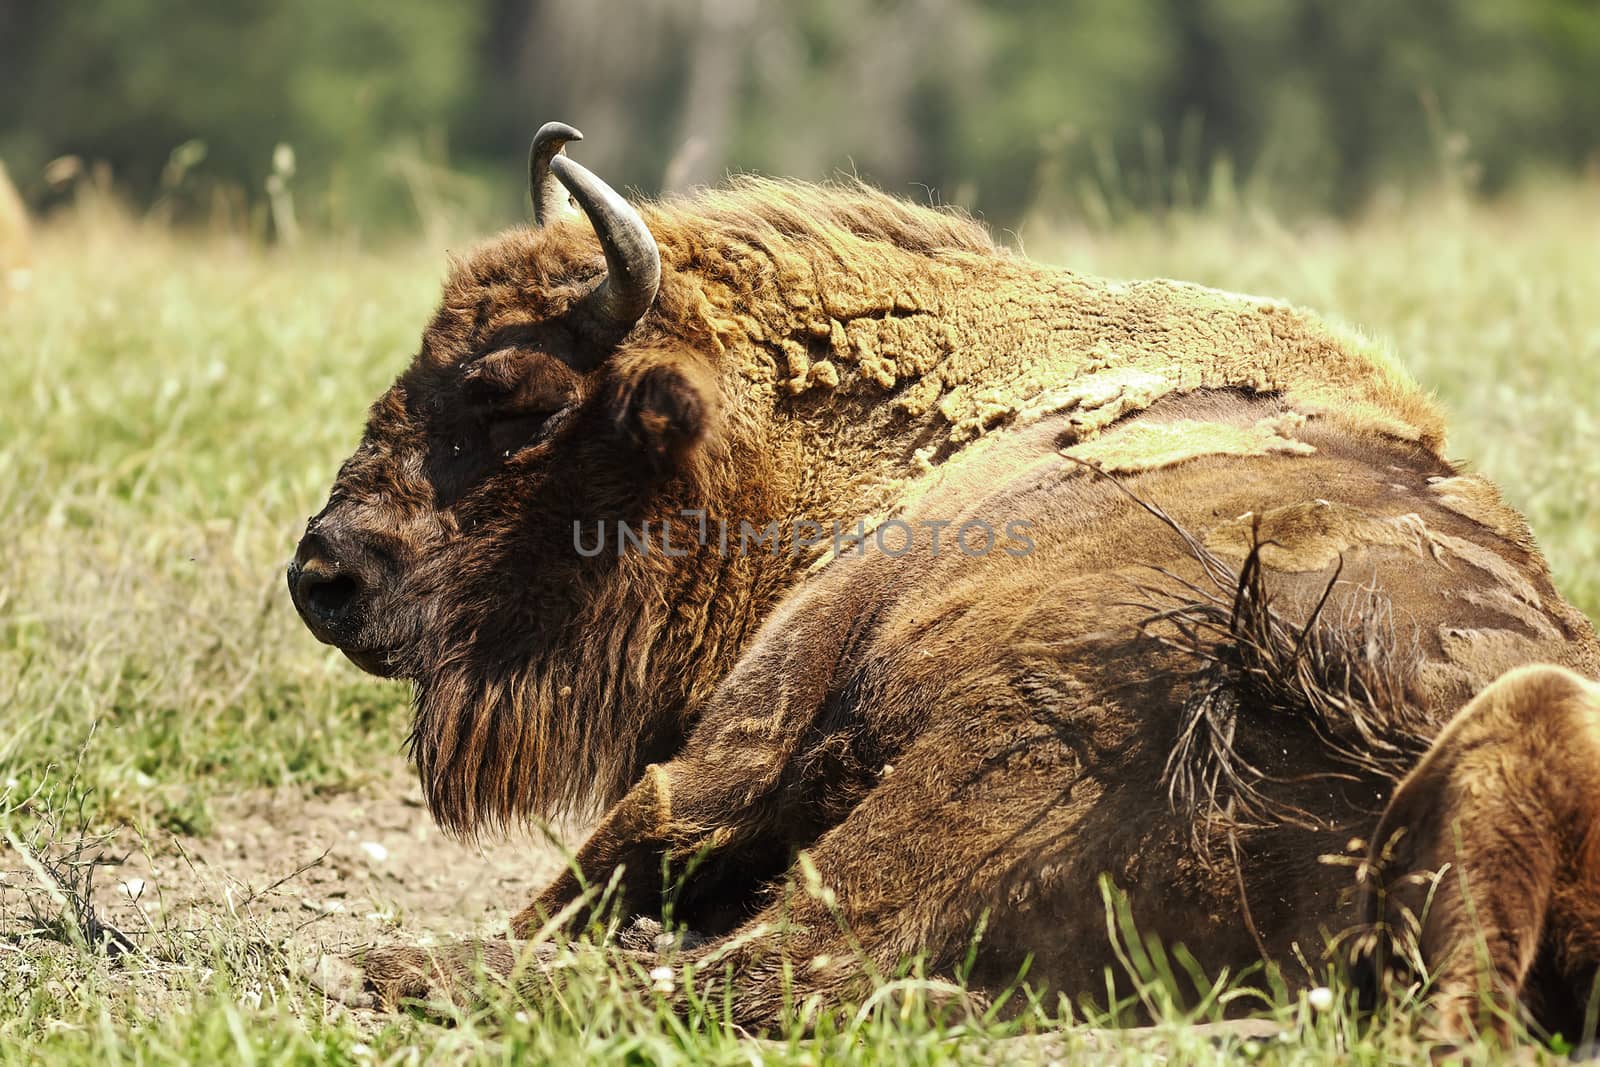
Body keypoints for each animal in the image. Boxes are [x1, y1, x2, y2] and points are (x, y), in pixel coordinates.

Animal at [288, 120, 1600, 1036]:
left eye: (512, 395)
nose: (323, 572)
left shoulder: (755, 721)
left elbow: (629, 837)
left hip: (986, 757)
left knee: (773, 958)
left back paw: (403, 964)